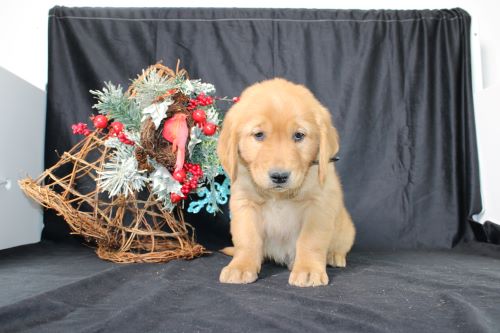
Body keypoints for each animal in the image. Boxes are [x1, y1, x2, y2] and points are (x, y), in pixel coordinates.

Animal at [217, 79, 354, 286]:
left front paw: (308, 270)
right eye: (258, 135)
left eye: (299, 135)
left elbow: (310, 241)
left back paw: (333, 256)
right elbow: (247, 239)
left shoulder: (319, 205)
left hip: (346, 229)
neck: (278, 196)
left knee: (340, 245)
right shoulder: (244, 203)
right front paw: (240, 266)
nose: (279, 176)